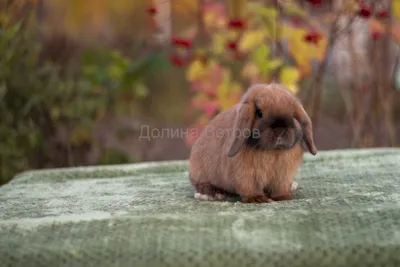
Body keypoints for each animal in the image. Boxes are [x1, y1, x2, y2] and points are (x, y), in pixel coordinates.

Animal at [189, 84, 318, 205]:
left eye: (292, 115)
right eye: (259, 112)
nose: (280, 129)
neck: (272, 150)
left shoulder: (283, 175)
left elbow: (280, 188)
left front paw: (283, 197)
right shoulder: (245, 174)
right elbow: (249, 187)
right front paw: (257, 199)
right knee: (202, 184)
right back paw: (213, 194)